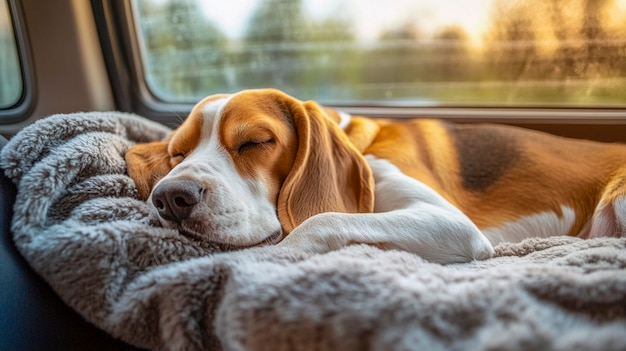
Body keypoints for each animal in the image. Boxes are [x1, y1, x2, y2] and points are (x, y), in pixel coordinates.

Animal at [124, 88, 624, 264]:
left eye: (254, 143)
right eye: (178, 152)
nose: (171, 197)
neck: (358, 142)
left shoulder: (450, 222)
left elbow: (320, 219)